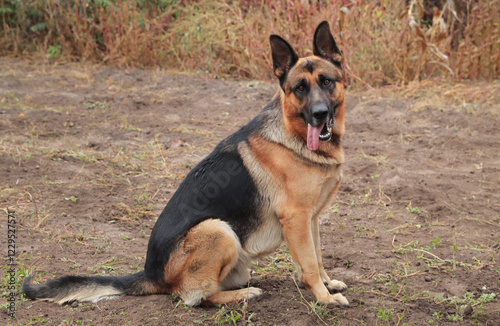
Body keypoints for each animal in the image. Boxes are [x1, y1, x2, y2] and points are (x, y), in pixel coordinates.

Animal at [23, 21, 350, 308]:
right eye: (300, 88)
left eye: (326, 82)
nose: (319, 114)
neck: (293, 134)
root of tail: (151, 274)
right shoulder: (296, 218)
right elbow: (309, 264)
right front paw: (324, 298)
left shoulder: (310, 219)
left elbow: (317, 256)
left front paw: (326, 284)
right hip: (218, 230)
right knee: (194, 296)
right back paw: (243, 295)